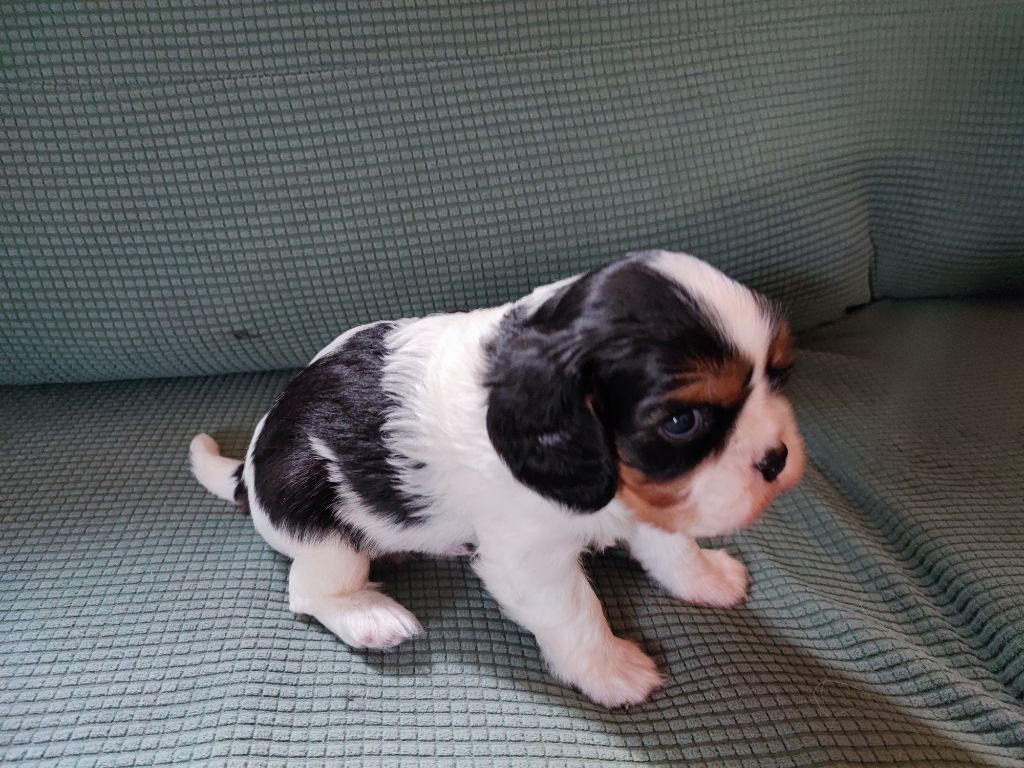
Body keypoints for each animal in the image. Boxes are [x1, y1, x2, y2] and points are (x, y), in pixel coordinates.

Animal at [191, 250, 804, 707]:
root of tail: (249, 466)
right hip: (322, 523)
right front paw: (612, 672)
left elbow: (670, 543)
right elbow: (577, 614)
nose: (777, 458)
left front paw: (705, 576)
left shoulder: (655, 490)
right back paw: (369, 614)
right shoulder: (530, 560)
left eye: (779, 375)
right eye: (683, 422)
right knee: (309, 589)